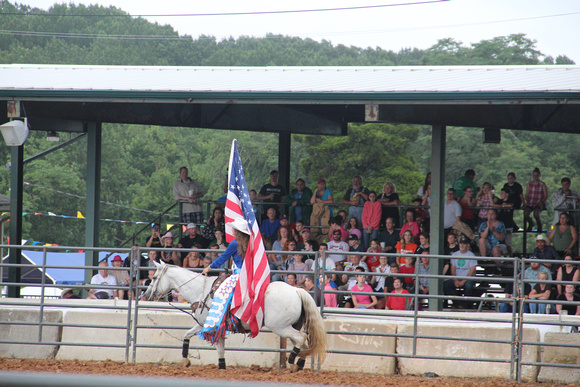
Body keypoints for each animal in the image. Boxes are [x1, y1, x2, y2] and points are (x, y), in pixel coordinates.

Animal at [142, 262, 326, 372]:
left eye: (155, 277)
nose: (147, 294)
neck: (201, 290)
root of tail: (296, 290)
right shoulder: (203, 324)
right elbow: (187, 335)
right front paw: (186, 360)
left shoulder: (213, 327)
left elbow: (219, 347)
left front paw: (221, 367)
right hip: (289, 326)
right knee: (304, 342)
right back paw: (299, 363)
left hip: (281, 327)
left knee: (301, 338)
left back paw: (293, 360)